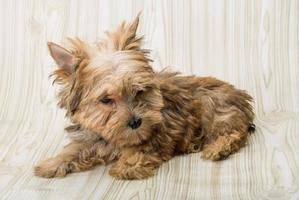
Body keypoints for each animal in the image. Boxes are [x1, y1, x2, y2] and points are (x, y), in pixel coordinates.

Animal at [34, 14, 255, 180]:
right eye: (106, 100)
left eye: (139, 92)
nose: (135, 122)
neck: (112, 138)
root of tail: (242, 97)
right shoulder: (89, 136)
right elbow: (75, 148)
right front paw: (53, 163)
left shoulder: (160, 133)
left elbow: (142, 149)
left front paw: (128, 165)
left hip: (215, 106)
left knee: (235, 132)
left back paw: (219, 147)